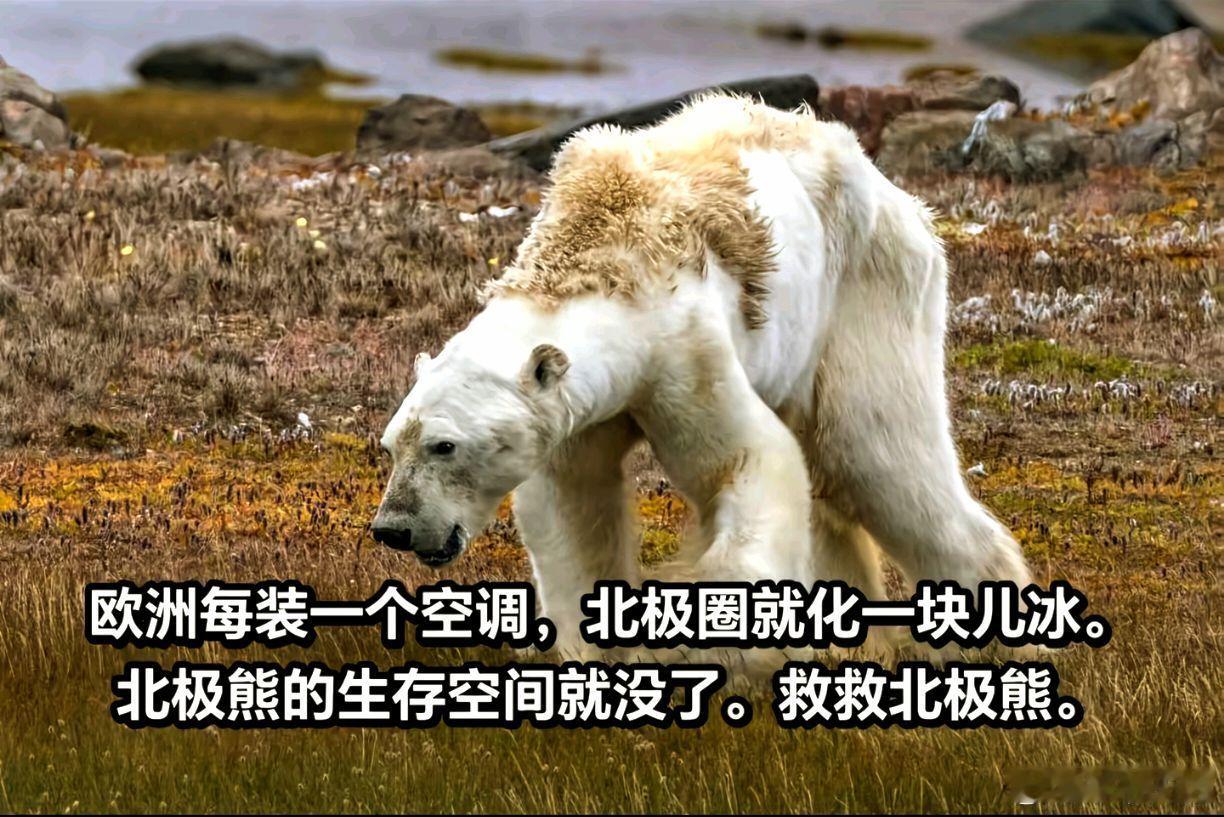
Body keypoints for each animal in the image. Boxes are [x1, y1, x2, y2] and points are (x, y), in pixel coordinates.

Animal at [372, 93, 1031, 655]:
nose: (393, 529)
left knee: (877, 454)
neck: (598, 256)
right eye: (391, 444)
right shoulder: (577, 412)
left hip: (865, 288)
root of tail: (898, 194)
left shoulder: (682, 352)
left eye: (444, 445)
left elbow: (745, 461)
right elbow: (572, 509)